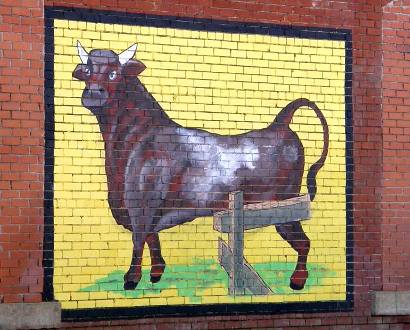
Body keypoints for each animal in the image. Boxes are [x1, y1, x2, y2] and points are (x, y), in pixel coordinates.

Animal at [73, 41, 330, 292]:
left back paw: (297, 280)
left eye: (114, 73)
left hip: (286, 207)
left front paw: (131, 279)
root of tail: (280, 124)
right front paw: (156, 273)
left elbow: (139, 240)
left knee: (304, 243)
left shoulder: (140, 205)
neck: (136, 137)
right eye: (87, 71)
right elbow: (152, 239)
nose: (93, 93)